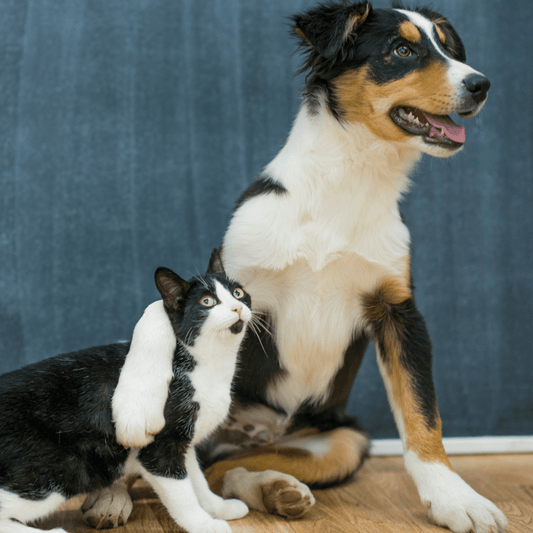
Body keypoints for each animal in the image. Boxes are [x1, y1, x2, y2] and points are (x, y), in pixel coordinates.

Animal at [0, 248, 251, 532]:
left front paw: (219, 507)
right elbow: (182, 494)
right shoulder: (159, 450)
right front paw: (204, 524)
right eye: (207, 301)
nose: (237, 307)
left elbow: (197, 481)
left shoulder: (183, 444)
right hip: (60, 468)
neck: (211, 366)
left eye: (238, 293)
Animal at [85, 1, 504, 532]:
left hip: (342, 440)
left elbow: (422, 412)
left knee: (222, 469)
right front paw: (136, 409)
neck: (348, 182)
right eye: (401, 50)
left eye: (449, 49)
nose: (481, 84)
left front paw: (454, 498)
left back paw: (277, 490)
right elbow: (152, 320)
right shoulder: (225, 281)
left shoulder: (399, 309)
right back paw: (111, 497)